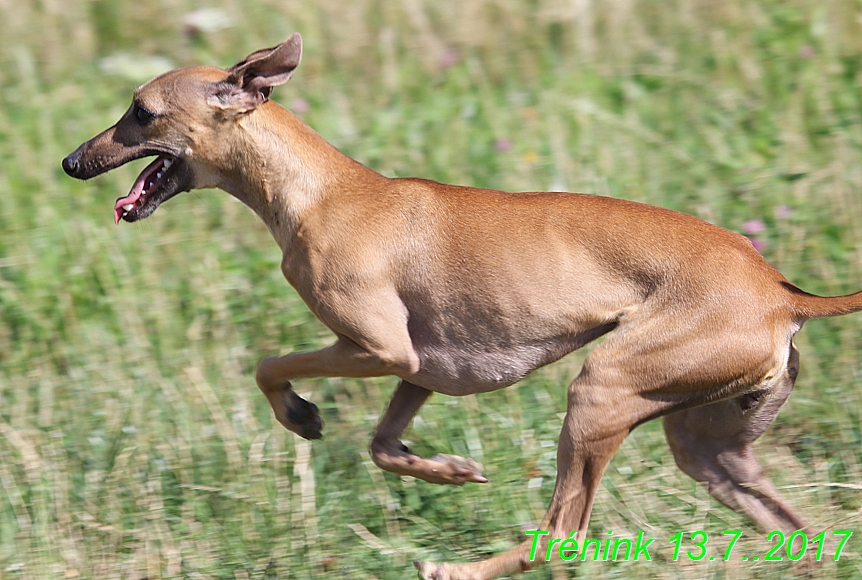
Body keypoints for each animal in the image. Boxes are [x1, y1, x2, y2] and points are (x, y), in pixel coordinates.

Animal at [62, 34, 862, 576]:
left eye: (140, 112)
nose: (71, 161)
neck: (321, 191)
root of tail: (780, 293)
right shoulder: (423, 372)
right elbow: (384, 446)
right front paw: (449, 470)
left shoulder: (380, 349)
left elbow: (269, 365)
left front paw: (300, 415)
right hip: (710, 449)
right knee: (792, 524)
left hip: (600, 393)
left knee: (561, 531)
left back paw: (456, 568)